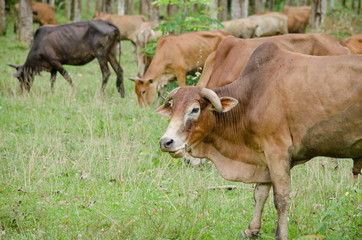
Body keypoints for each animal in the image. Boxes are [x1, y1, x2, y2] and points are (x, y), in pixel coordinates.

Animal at [157, 41, 360, 240]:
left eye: (195, 109)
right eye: (172, 108)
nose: (166, 142)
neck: (251, 97)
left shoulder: (277, 152)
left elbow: (281, 199)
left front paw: (281, 234)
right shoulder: (263, 157)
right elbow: (260, 193)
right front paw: (252, 229)